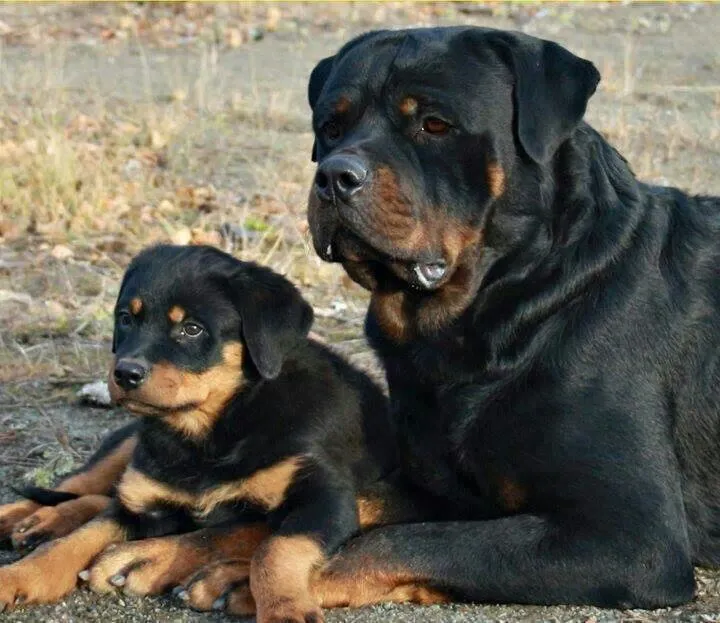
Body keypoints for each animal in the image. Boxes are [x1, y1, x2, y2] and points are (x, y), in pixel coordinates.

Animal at [0, 246, 396, 620]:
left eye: (192, 329)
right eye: (125, 318)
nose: (125, 373)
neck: (210, 432)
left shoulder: (324, 499)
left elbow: (275, 550)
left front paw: (285, 609)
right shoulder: (138, 503)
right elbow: (77, 540)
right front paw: (16, 577)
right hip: (127, 447)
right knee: (82, 486)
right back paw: (29, 518)